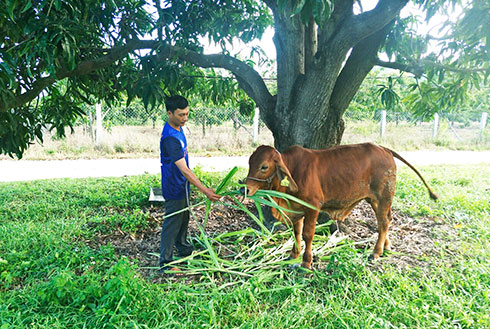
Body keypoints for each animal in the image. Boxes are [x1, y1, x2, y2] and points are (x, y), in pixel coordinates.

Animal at [243, 142, 438, 268]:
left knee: (383, 222)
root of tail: (384, 149)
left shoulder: (313, 207)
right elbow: (296, 232)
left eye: (264, 166)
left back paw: (375, 252)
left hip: (383, 196)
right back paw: (386, 247)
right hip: (375, 199)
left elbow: (307, 235)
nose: (245, 188)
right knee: (386, 220)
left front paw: (306, 262)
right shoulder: (295, 208)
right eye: (250, 162)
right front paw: (293, 255)